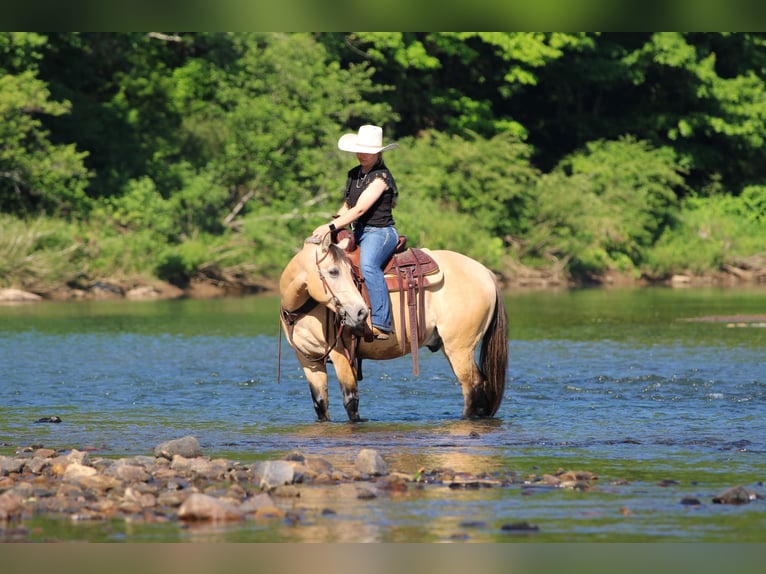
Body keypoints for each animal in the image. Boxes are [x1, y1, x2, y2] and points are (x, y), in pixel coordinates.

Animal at [278, 232, 508, 422]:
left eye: (348, 272)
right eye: (333, 271)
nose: (361, 313)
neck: (303, 307)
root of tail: (485, 272)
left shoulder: (341, 355)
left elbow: (351, 402)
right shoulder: (308, 359)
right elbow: (320, 404)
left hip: (460, 348)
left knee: (472, 387)